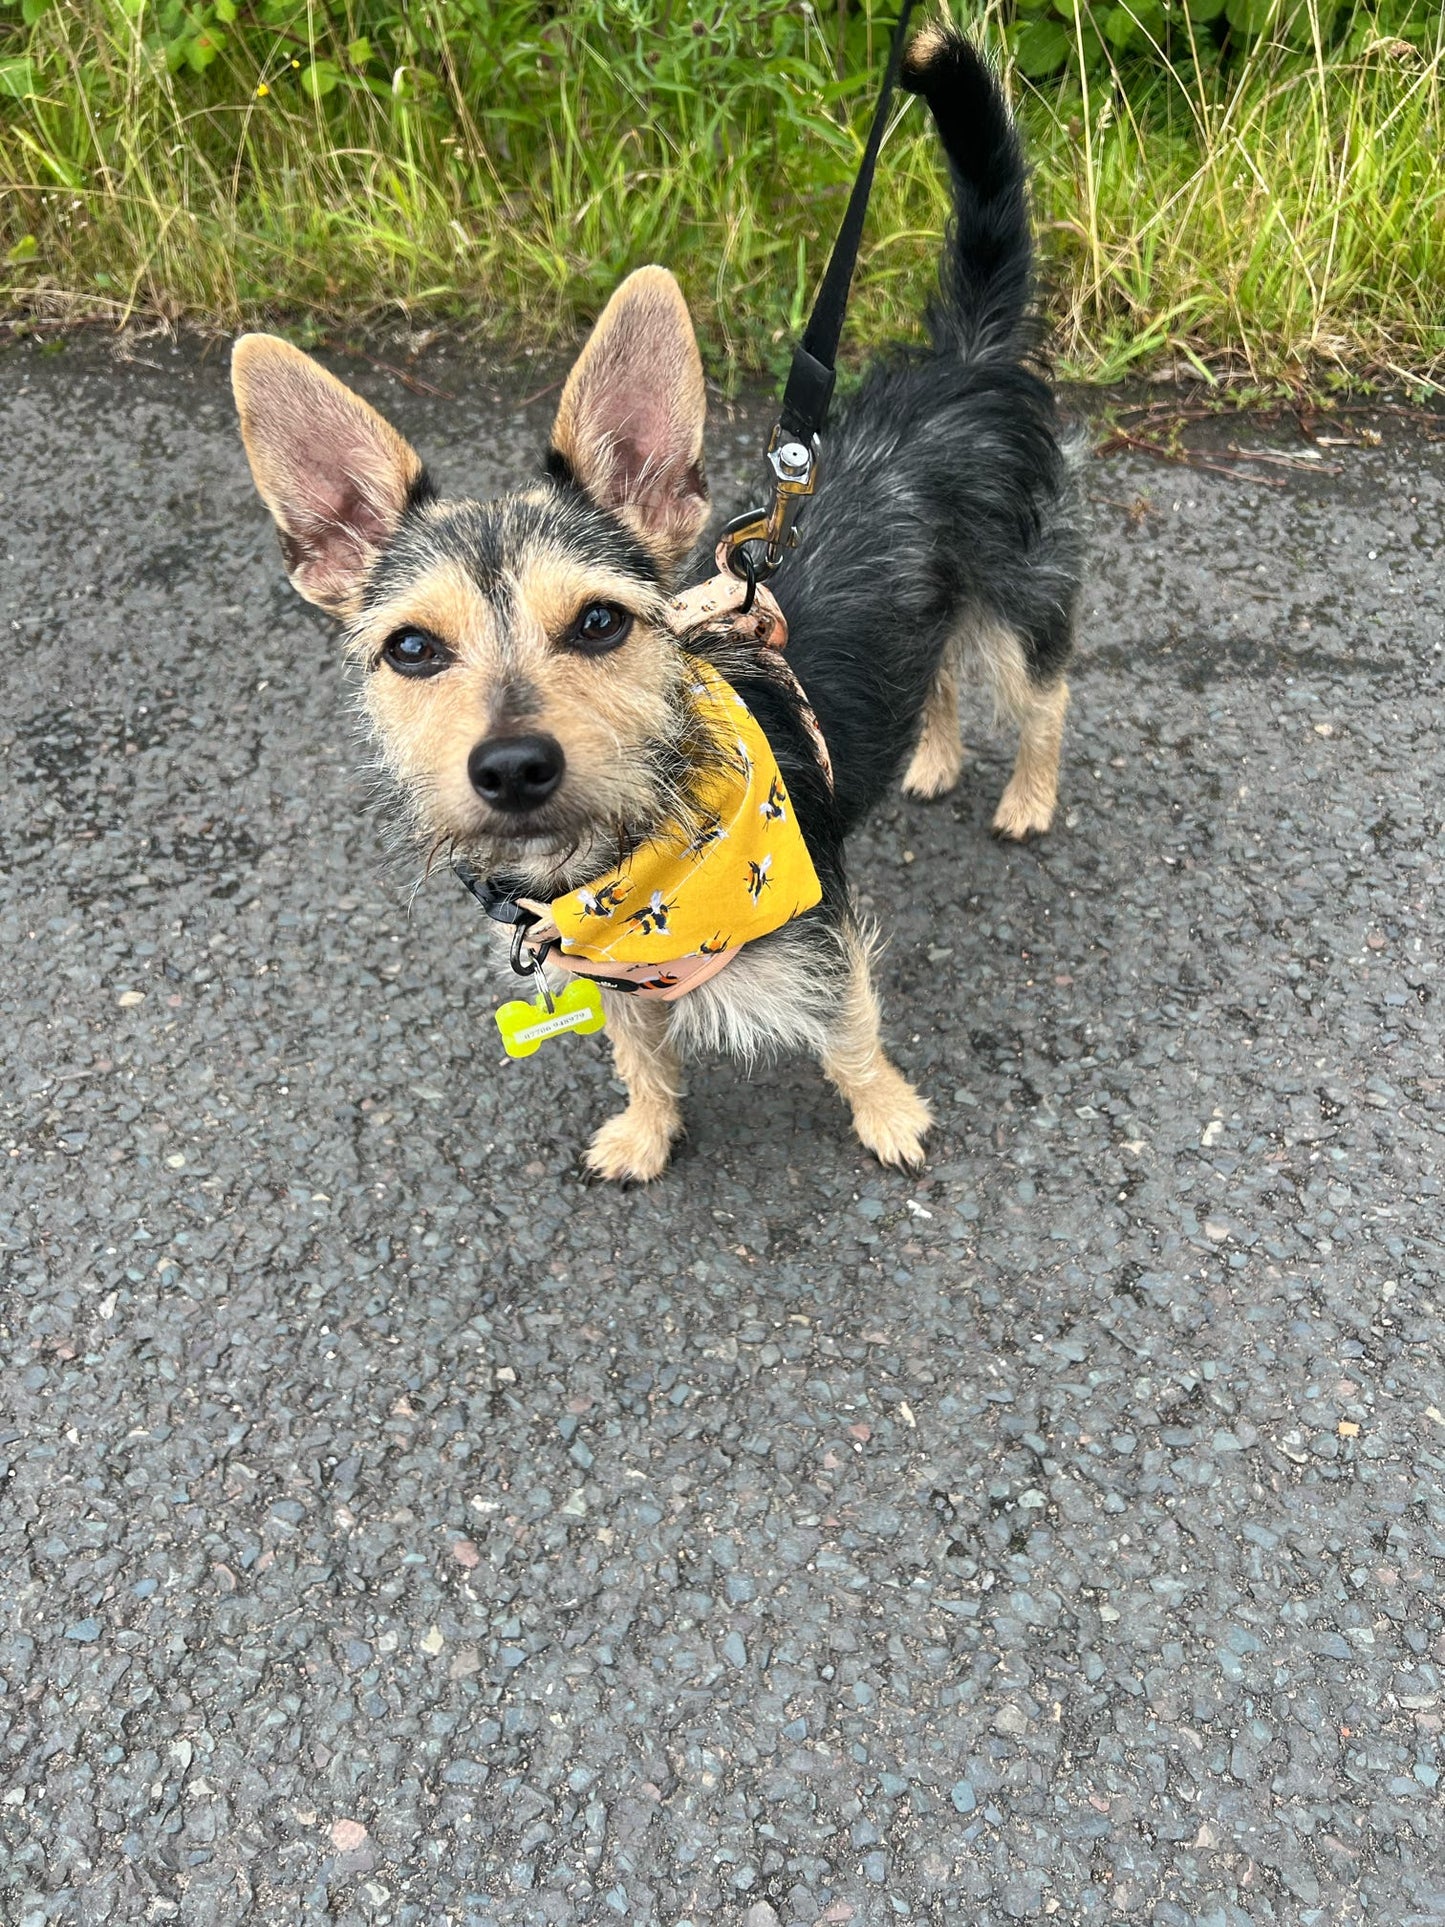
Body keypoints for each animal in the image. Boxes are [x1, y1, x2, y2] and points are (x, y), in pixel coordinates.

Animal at [229, 22, 1086, 1179]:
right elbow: (639, 1049)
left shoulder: (821, 934)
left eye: (599, 622)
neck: (626, 864)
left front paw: (890, 1118)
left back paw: (1026, 796)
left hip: (1017, 589)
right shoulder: (610, 969)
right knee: (937, 666)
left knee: (1042, 693)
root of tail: (960, 361)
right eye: (411, 649)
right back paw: (932, 754)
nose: (512, 767)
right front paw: (645, 1132)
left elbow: (851, 1037)